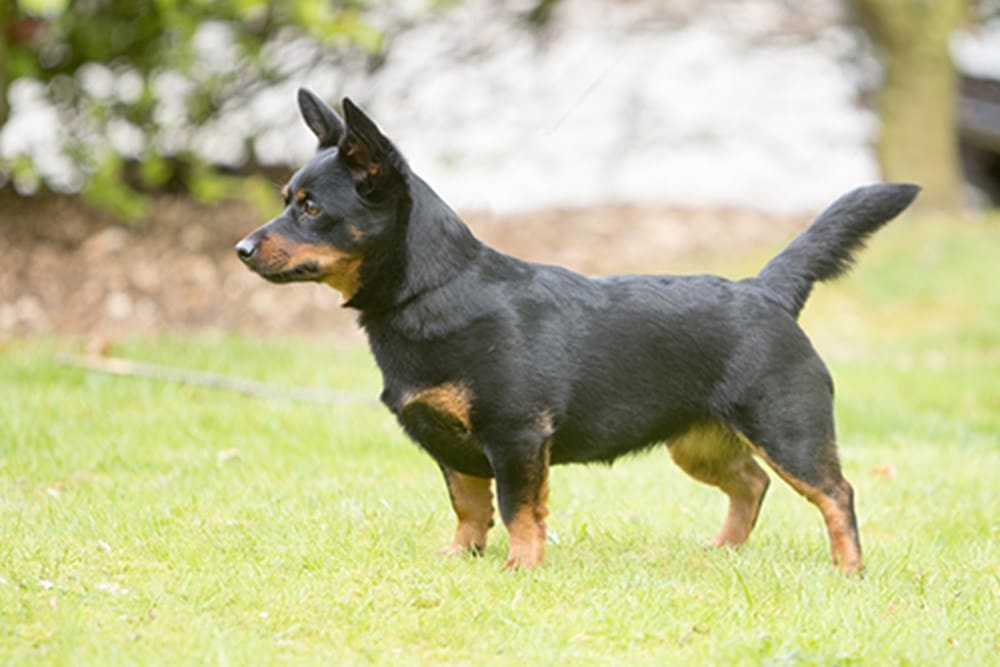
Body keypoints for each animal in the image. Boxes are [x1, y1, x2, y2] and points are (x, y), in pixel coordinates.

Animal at [232, 88, 916, 576]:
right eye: (288, 199)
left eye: (312, 208)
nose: (239, 249)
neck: (437, 290)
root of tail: (766, 289)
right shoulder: (451, 446)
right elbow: (469, 505)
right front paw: (461, 558)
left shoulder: (516, 437)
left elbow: (518, 509)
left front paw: (521, 567)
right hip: (698, 442)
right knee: (752, 482)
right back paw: (724, 550)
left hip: (788, 432)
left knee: (837, 493)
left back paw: (848, 571)